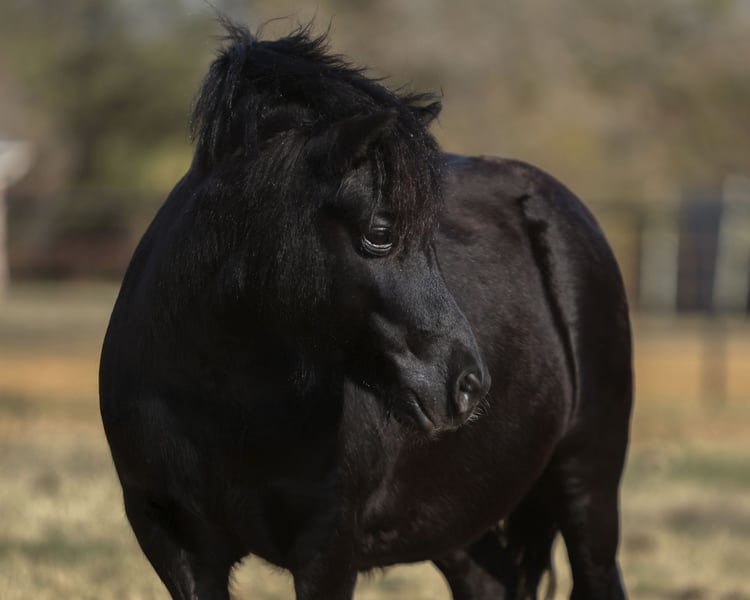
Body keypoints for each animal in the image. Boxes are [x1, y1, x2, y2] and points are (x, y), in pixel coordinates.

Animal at [100, 22, 632, 600]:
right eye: (380, 232)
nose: (466, 384)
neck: (215, 404)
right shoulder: (175, 543)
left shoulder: (329, 547)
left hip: (588, 482)